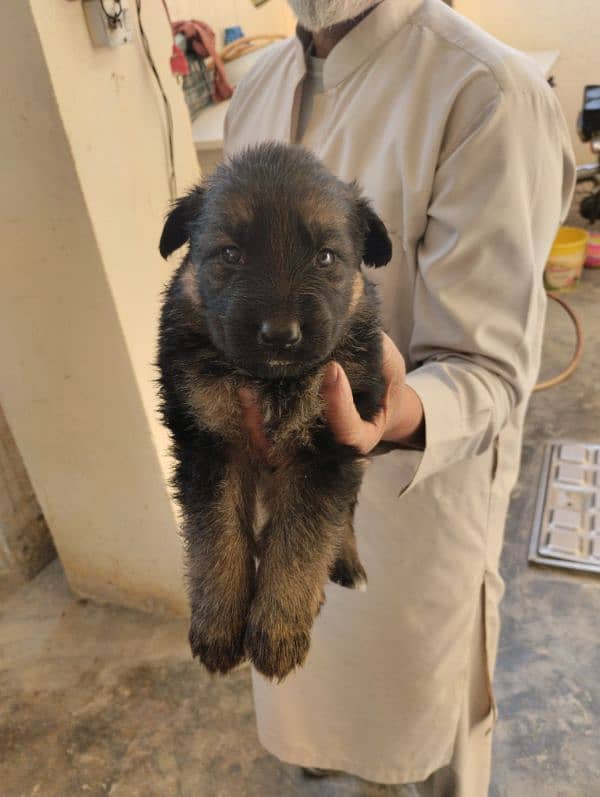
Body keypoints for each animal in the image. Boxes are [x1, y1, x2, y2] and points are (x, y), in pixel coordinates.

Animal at [157, 143, 392, 676]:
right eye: (230, 255)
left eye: (326, 257)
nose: (280, 335)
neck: (269, 381)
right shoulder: (207, 444)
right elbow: (216, 535)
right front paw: (219, 624)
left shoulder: (330, 447)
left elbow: (301, 542)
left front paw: (279, 630)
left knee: (342, 519)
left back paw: (345, 565)